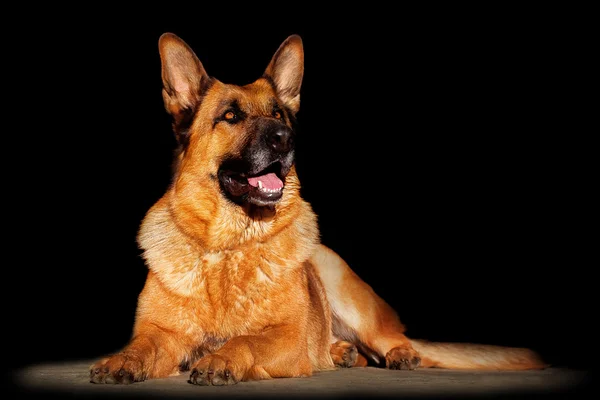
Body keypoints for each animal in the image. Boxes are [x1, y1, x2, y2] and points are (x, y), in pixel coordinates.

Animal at [90, 33, 548, 384]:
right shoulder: (161, 332)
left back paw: (398, 354)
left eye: (278, 114)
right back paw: (342, 352)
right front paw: (122, 360)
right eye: (231, 116)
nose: (285, 139)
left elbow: (246, 339)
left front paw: (222, 358)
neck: (227, 249)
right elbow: (143, 344)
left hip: (342, 284)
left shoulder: (287, 338)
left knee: (391, 339)